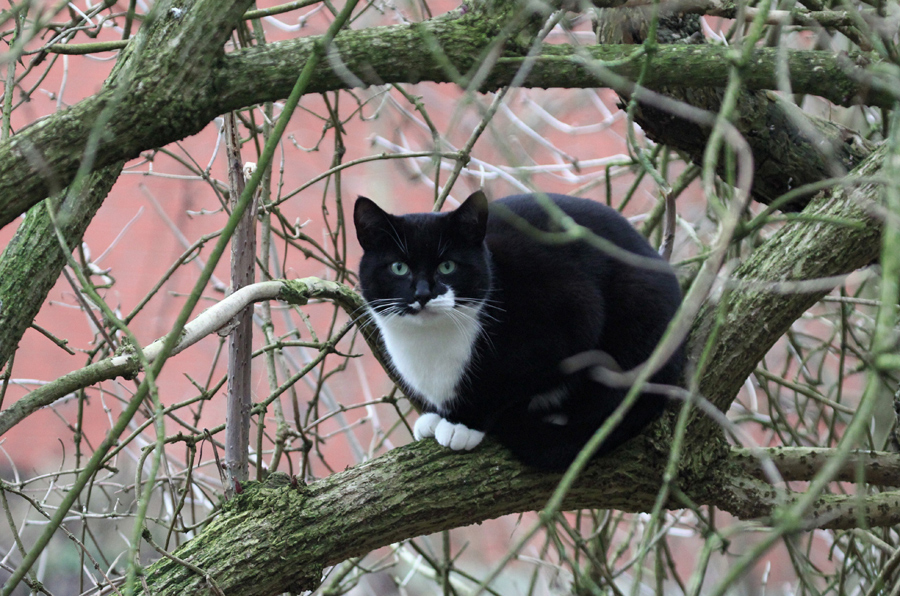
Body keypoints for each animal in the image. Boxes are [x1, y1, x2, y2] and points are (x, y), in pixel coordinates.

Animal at [356, 191, 684, 470]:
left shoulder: (572, 315)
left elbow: (512, 383)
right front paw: (437, 417)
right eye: (398, 268)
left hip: (637, 313)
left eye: (447, 266)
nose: (423, 294)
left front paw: (464, 423)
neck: (429, 344)